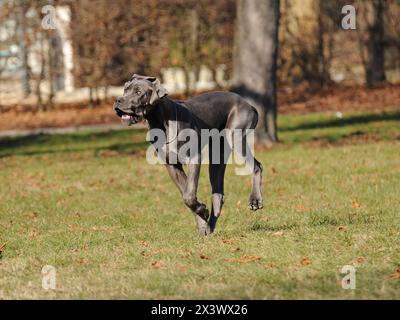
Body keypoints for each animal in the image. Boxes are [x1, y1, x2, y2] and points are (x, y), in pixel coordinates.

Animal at [113, 74, 262, 235]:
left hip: (236, 137)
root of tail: (247, 104)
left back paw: (255, 200)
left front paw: (202, 213)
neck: (161, 122)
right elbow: (186, 193)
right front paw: (202, 220)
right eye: (125, 89)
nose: (118, 100)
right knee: (218, 194)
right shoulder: (172, 166)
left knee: (257, 166)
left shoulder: (194, 159)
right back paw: (210, 228)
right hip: (217, 159)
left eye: (138, 92)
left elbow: (189, 195)